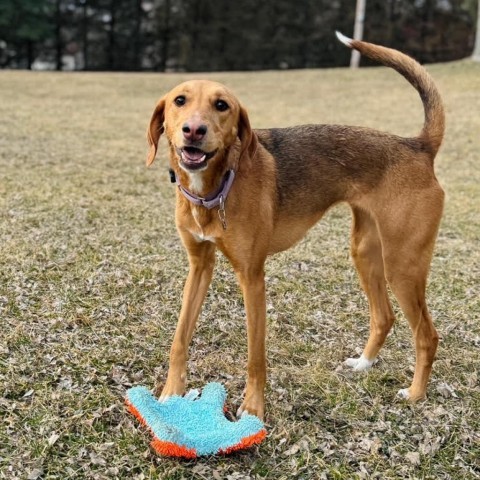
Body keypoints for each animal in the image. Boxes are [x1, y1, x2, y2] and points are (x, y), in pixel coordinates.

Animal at [145, 32, 442, 420]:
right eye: (179, 100)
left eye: (222, 105)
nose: (194, 130)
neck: (216, 189)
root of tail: (419, 146)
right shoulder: (199, 266)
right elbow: (180, 337)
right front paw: (171, 392)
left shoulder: (252, 277)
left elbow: (255, 355)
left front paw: (253, 408)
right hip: (365, 253)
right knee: (384, 316)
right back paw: (364, 363)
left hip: (403, 267)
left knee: (427, 334)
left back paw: (416, 394)